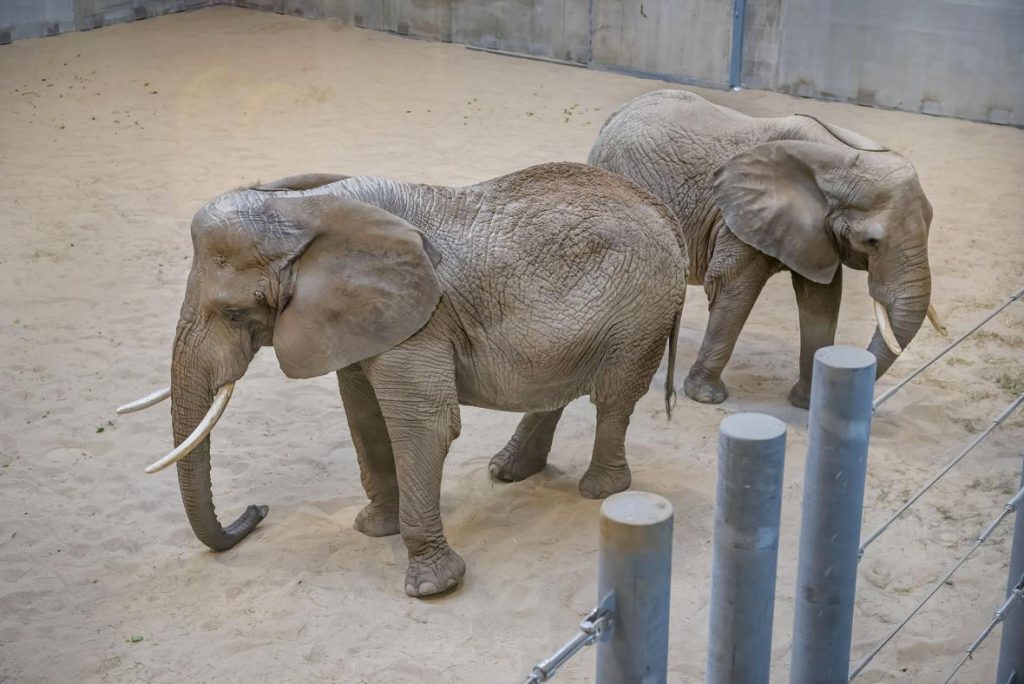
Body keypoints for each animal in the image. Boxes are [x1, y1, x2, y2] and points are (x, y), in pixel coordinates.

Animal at [123, 162, 692, 593]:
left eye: (235, 313)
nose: (256, 510)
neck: (308, 211)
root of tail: (665, 217)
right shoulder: (361, 321)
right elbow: (363, 416)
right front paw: (374, 530)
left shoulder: (422, 319)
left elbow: (424, 426)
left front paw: (432, 587)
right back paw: (509, 471)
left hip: (638, 313)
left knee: (613, 398)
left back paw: (599, 491)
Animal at [585, 90, 942, 409]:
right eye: (872, 241)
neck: (839, 157)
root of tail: (616, 114)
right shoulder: (738, 219)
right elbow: (735, 288)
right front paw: (706, 397)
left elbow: (822, 300)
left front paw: (808, 402)